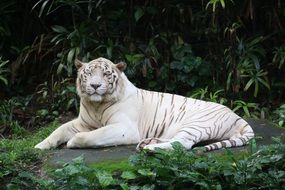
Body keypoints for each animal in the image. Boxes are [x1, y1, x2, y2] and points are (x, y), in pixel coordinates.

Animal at [34, 57, 254, 151]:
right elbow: (58, 130)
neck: (96, 105)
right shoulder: (82, 122)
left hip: (197, 123)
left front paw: (72, 142)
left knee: (182, 144)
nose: (95, 86)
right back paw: (148, 143)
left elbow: (90, 136)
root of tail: (238, 117)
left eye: (105, 74)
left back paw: (148, 149)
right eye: (88, 73)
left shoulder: (124, 128)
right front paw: (40, 146)